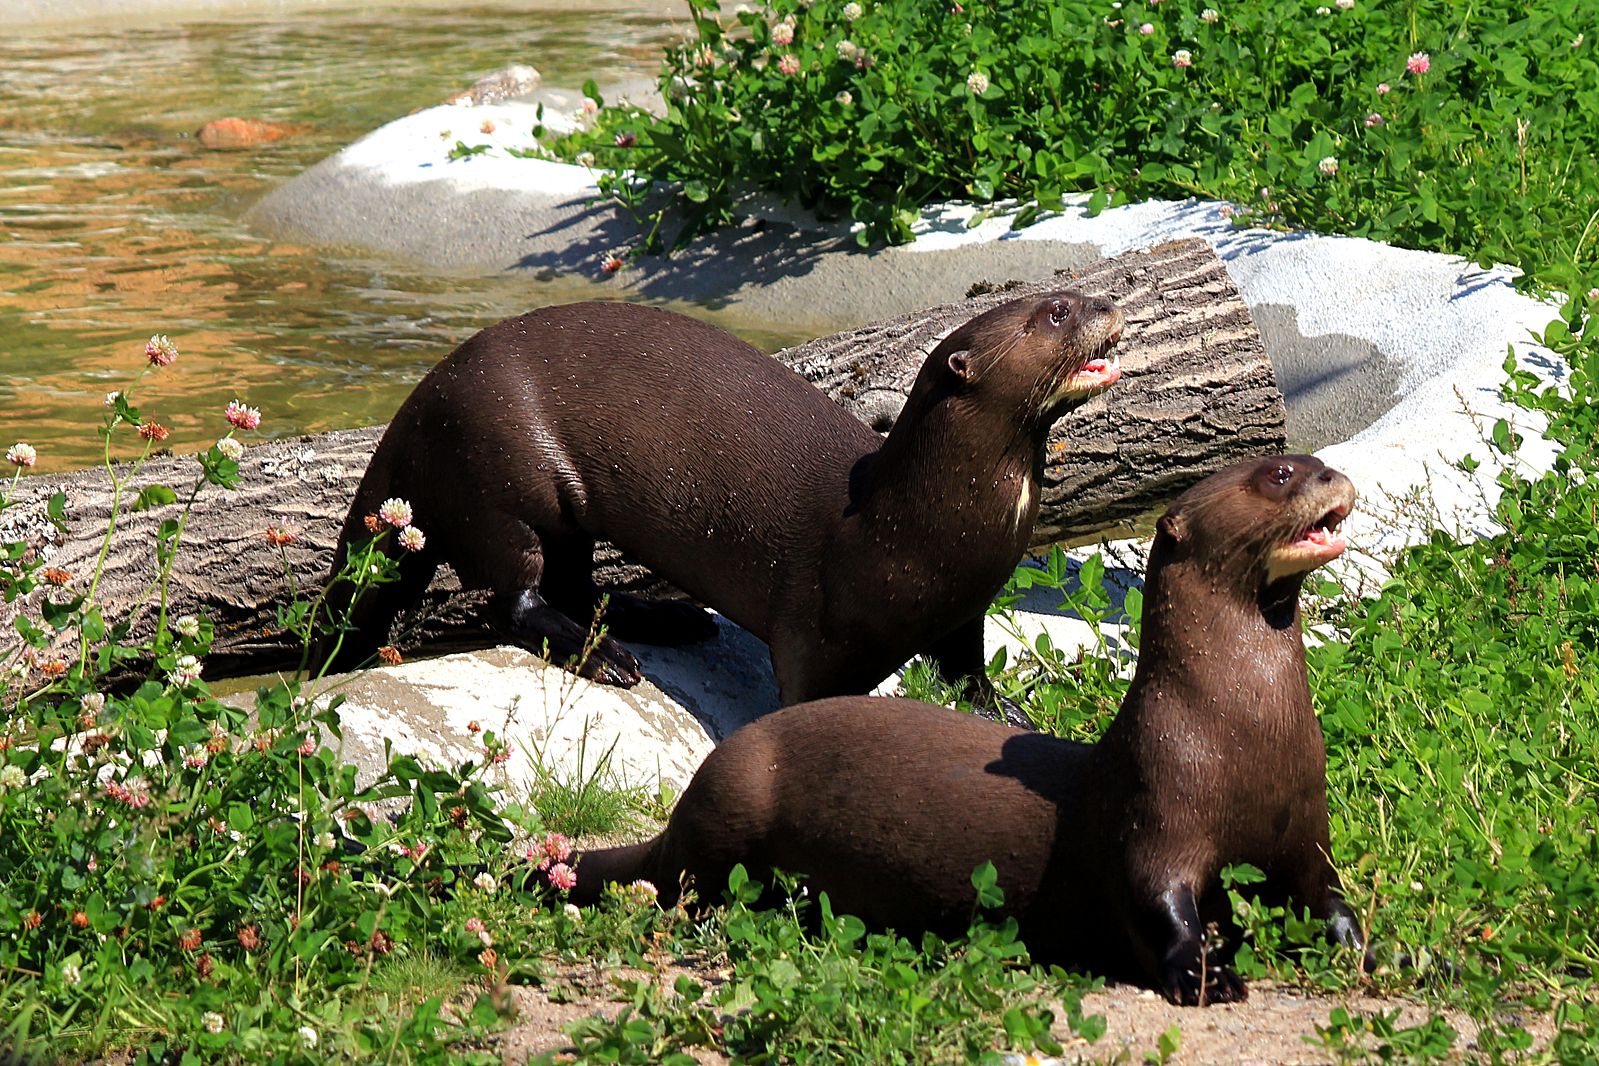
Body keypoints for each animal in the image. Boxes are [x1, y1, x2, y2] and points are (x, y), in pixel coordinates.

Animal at [324, 294, 1125, 709]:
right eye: (1057, 311)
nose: (1111, 301)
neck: (914, 525)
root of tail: (412, 411)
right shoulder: (814, 629)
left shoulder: (965, 608)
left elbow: (966, 666)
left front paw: (1006, 708)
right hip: (498, 471)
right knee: (511, 596)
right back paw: (607, 657)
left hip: (556, 508)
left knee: (575, 582)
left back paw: (665, 621)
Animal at [566, 453, 1375, 1003]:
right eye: (1278, 475)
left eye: (1313, 463)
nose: (1334, 475)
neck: (1240, 732)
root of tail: (684, 808)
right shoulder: (1154, 818)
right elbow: (1160, 908)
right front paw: (1205, 974)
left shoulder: (1305, 833)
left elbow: (1332, 902)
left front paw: (1374, 956)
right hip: (731, 808)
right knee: (690, 888)